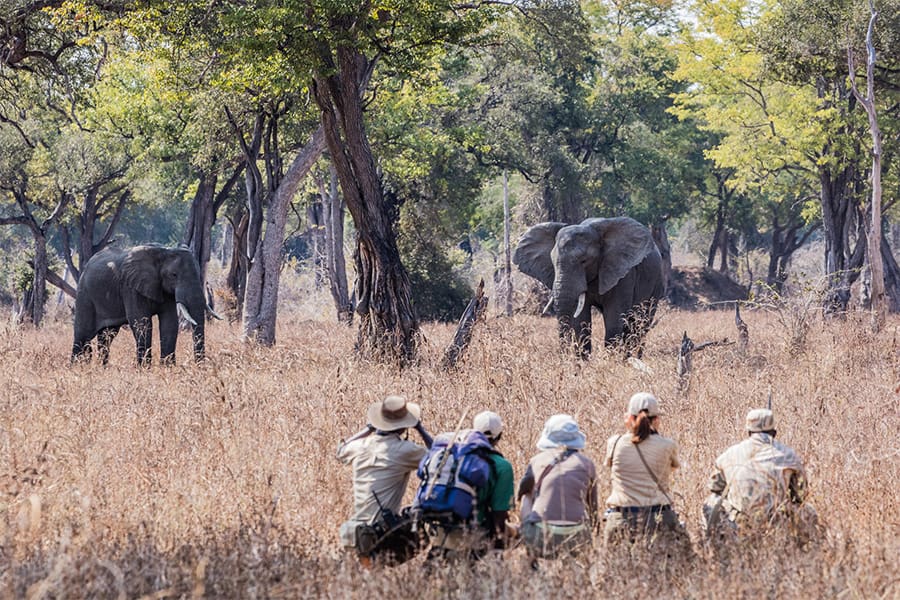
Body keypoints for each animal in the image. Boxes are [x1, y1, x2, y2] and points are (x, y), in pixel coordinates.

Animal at [68, 244, 220, 366]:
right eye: (174, 275)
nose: (200, 367)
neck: (163, 252)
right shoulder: (130, 287)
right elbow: (142, 323)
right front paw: (145, 369)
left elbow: (170, 323)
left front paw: (168, 367)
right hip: (85, 294)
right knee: (83, 334)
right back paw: (76, 367)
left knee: (106, 336)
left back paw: (102, 368)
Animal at [510, 218, 664, 358]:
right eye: (552, 262)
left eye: (584, 261)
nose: (564, 358)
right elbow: (581, 324)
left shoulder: (623, 274)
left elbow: (614, 320)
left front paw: (611, 362)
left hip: (656, 283)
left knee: (639, 324)